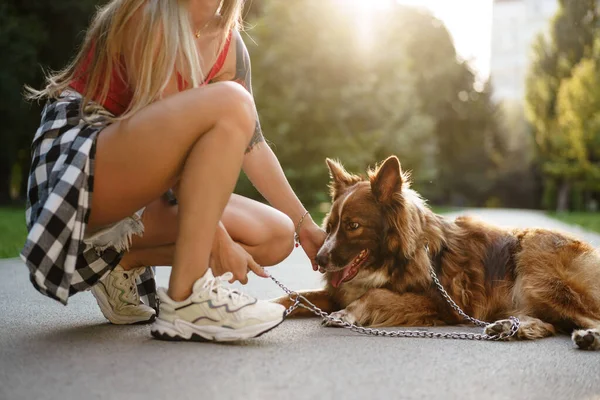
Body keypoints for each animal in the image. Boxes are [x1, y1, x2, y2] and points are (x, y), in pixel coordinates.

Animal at [274, 156, 600, 350]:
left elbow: (375, 295)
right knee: (550, 324)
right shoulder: (336, 291)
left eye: (353, 226)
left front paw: (346, 314)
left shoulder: (441, 303)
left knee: (588, 317)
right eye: (329, 227)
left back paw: (588, 337)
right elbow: (295, 296)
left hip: (536, 270)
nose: (320, 260)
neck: (394, 259)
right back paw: (513, 327)